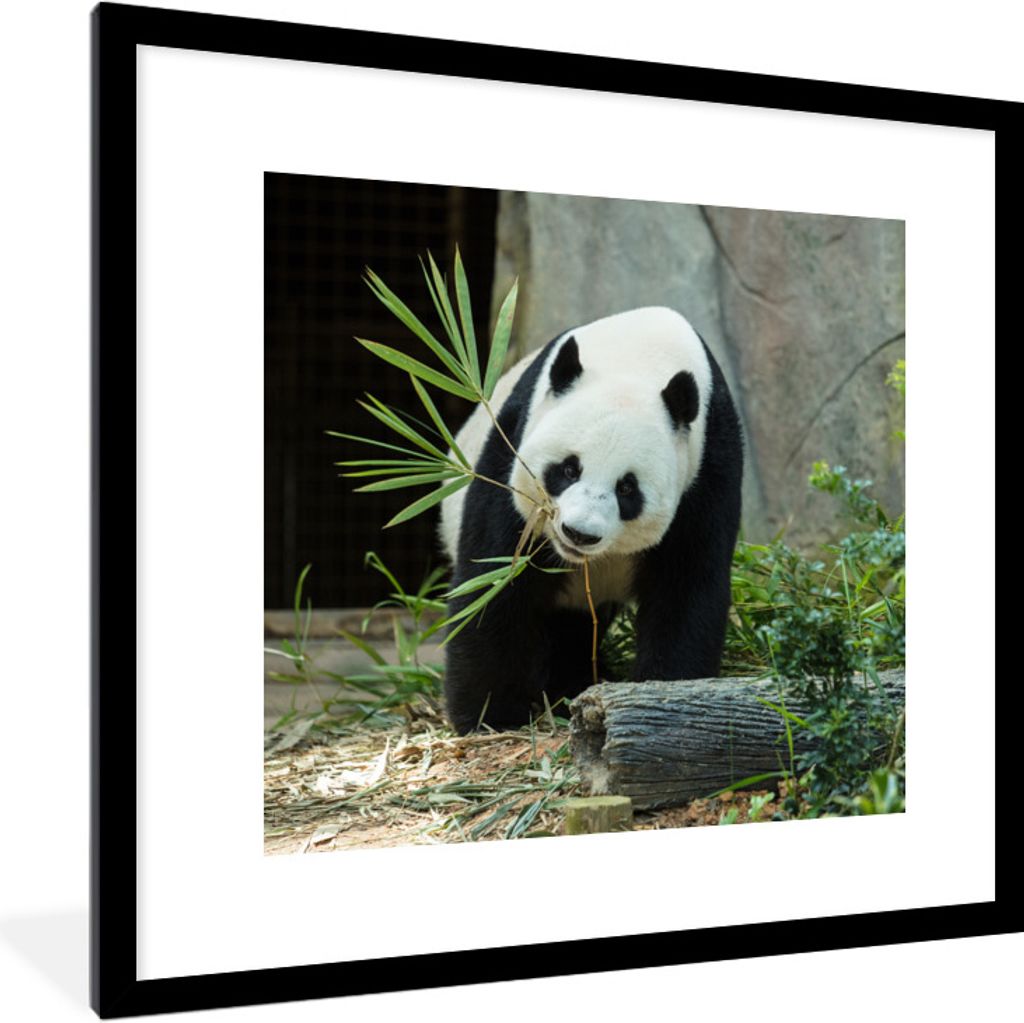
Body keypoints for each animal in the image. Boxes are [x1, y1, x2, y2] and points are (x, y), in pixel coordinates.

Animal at [438, 306, 743, 735]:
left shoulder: (707, 469)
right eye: (568, 469)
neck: (638, 354)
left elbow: (686, 586)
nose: (578, 534)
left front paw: (665, 695)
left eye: (627, 488)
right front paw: (491, 715)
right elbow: (495, 581)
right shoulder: (512, 446)